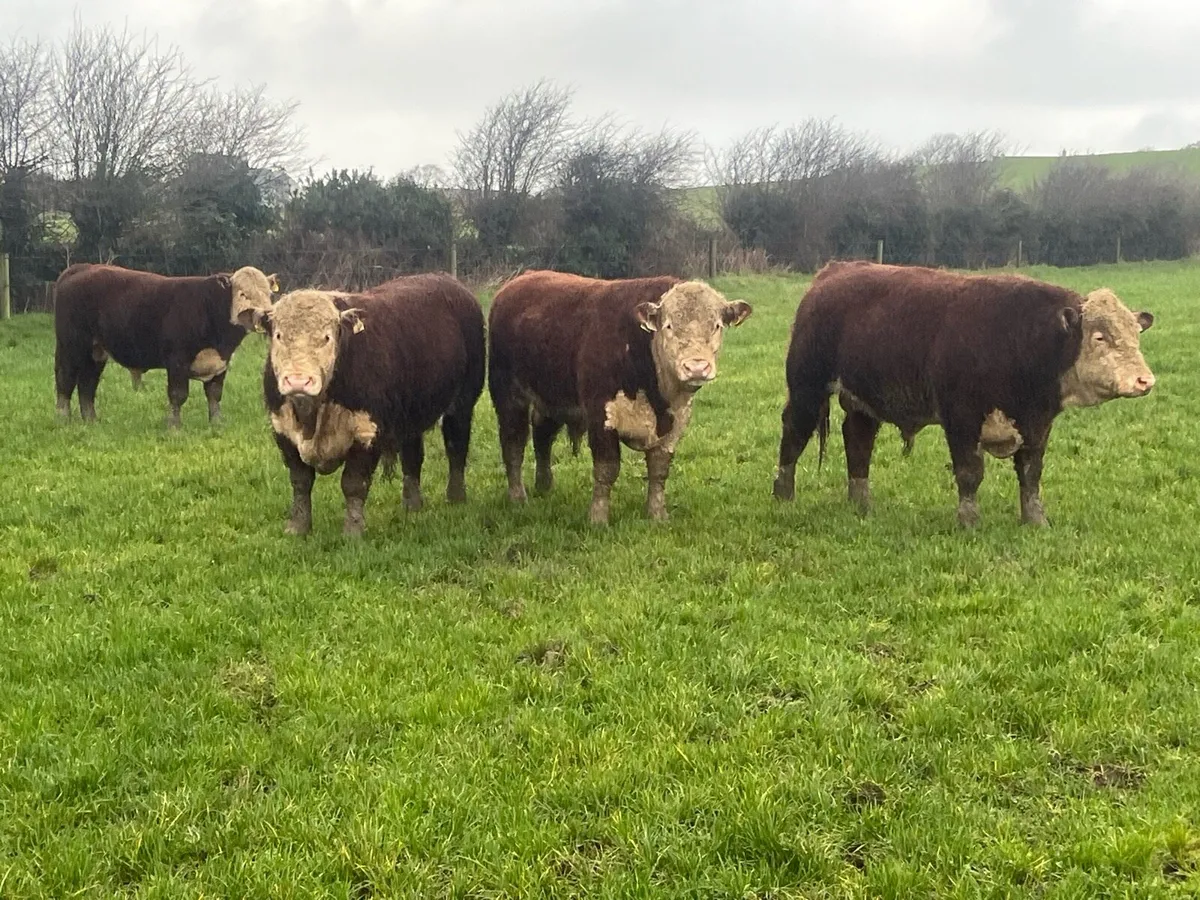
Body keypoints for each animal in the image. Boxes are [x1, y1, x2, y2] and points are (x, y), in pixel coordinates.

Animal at [53, 263, 279, 428]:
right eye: (243, 294)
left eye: (269, 294)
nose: (266, 315)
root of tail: (83, 267)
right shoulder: (177, 360)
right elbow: (178, 395)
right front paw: (174, 426)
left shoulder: (220, 363)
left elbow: (214, 394)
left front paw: (216, 423)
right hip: (71, 346)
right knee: (65, 380)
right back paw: (64, 420)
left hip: (96, 352)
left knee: (87, 384)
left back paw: (91, 420)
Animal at [257, 274, 485, 537]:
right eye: (279, 336)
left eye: (327, 337)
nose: (298, 381)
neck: (312, 415)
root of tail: (446, 279)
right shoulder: (282, 431)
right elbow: (300, 481)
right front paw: (298, 527)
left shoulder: (367, 431)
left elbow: (354, 484)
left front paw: (353, 531)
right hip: (410, 415)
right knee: (412, 458)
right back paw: (412, 505)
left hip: (463, 403)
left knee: (456, 447)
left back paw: (456, 498)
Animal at [488, 270, 753, 525]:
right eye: (668, 326)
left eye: (716, 325)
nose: (696, 367)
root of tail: (521, 279)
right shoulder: (601, 415)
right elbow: (607, 468)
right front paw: (598, 518)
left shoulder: (676, 422)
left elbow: (659, 470)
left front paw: (657, 515)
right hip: (507, 393)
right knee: (513, 443)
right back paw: (518, 497)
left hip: (551, 397)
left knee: (543, 436)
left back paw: (544, 487)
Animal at [771, 261, 1156, 528]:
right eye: (1100, 337)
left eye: (1135, 333)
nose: (1144, 380)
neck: (1020, 339)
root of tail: (834, 270)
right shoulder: (961, 419)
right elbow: (970, 472)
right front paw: (969, 521)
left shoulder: (1037, 424)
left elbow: (1030, 475)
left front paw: (1036, 521)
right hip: (807, 387)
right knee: (794, 434)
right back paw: (783, 493)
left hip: (862, 401)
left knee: (858, 440)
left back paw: (861, 501)